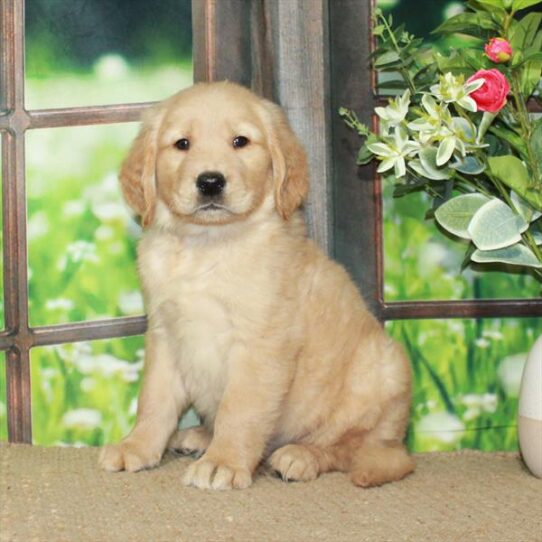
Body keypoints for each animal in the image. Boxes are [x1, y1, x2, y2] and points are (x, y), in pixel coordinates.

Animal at [100, 82, 416, 492]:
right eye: (182, 144)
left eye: (241, 141)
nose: (210, 182)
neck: (207, 246)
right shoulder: (166, 334)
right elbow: (154, 400)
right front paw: (137, 446)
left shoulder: (261, 343)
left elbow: (241, 409)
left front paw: (223, 462)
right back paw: (201, 435)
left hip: (384, 371)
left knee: (349, 448)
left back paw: (300, 456)